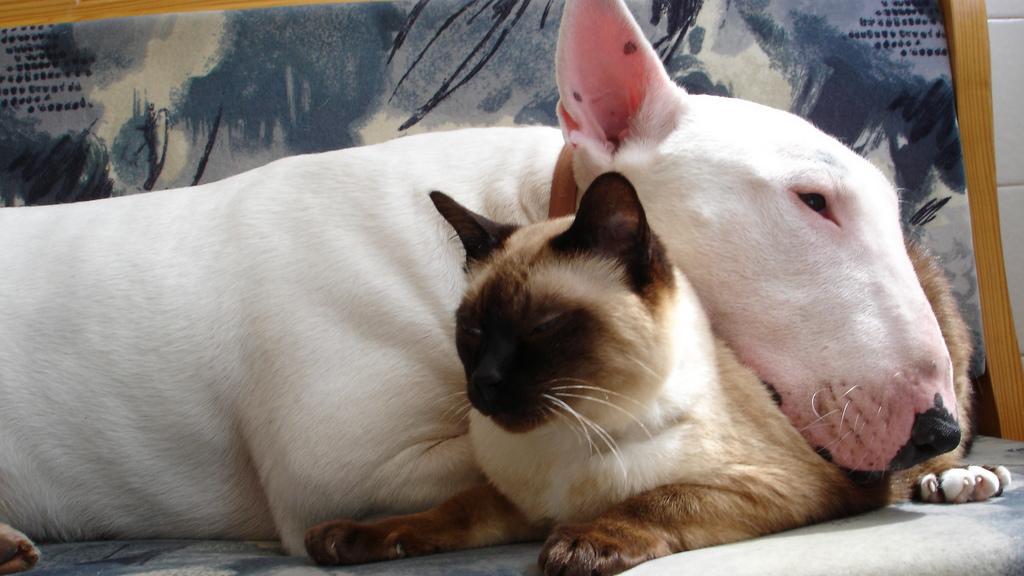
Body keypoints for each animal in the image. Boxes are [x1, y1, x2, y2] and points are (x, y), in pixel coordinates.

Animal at [301, 171, 999, 573]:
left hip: (926, 395)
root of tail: (911, 244)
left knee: (945, 443)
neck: (569, 438)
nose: (484, 386)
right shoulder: (513, 505)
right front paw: (348, 540)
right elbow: (439, 515)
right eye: (472, 331)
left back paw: (962, 482)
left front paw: (580, 547)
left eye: (543, 328)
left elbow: (656, 500)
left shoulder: (776, 485)